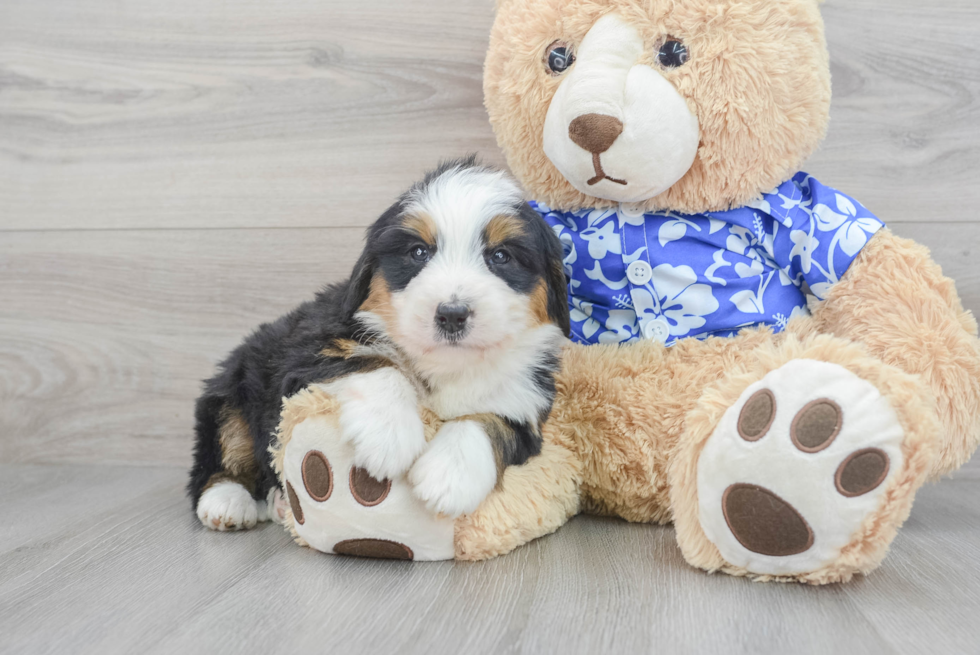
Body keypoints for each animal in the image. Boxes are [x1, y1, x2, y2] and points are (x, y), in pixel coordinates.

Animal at [189, 160, 572, 532]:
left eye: (501, 256)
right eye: (419, 252)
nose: (452, 314)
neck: (444, 365)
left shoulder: (526, 402)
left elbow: (489, 421)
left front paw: (448, 476)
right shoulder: (306, 355)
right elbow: (377, 363)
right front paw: (388, 436)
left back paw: (278, 502)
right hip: (231, 390)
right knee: (219, 457)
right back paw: (228, 502)